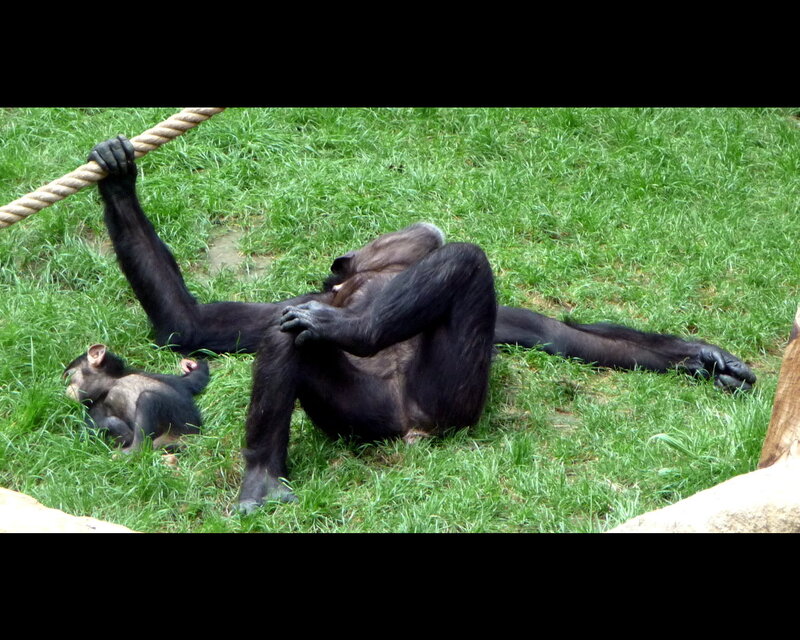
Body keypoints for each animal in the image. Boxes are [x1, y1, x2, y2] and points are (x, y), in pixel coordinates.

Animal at [64, 343, 209, 452]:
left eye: (67, 374)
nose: (65, 387)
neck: (113, 381)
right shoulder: (95, 408)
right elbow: (98, 428)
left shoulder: (162, 377)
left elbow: (193, 379)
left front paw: (193, 364)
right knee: (148, 400)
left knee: (147, 399)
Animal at [87, 135, 756, 510]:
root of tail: (412, 430)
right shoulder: (298, 296)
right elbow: (191, 325)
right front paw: (118, 182)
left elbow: (559, 336)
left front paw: (703, 358)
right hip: (374, 415)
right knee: (298, 330)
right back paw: (262, 477)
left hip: (445, 402)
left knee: (452, 271)